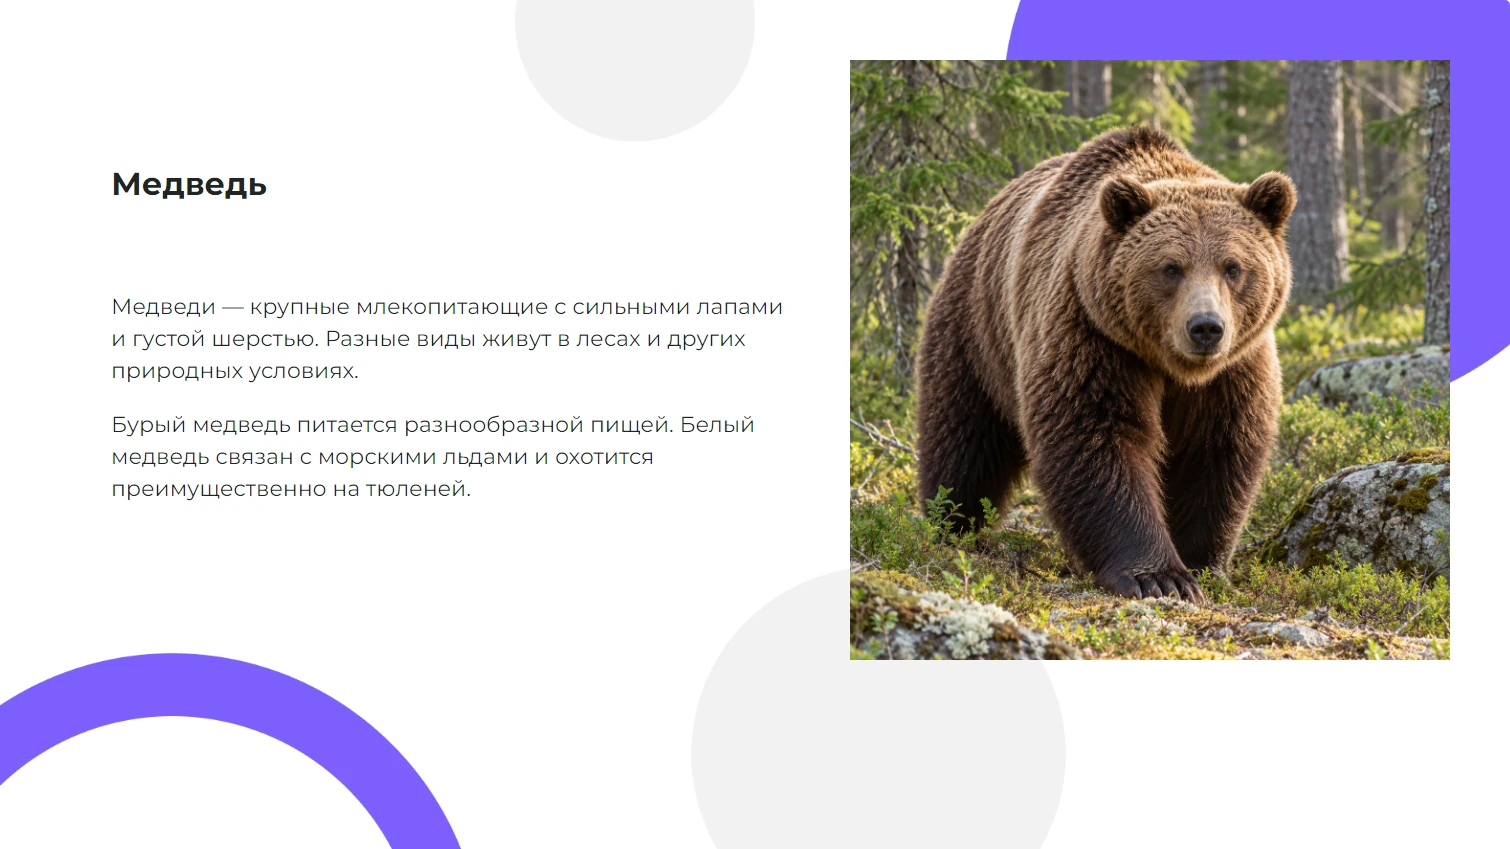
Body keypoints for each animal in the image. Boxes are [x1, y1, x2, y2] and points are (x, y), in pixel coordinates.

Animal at [914, 127, 1295, 602]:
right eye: (1171, 267)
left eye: (1232, 267)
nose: (1206, 327)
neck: (1172, 367)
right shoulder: (1093, 337)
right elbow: (1096, 436)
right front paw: (1158, 577)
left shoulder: (1233, 370)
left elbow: (1216, 449)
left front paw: (1202, 564)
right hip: (977, 331)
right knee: (964, 438)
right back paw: (952, 523)